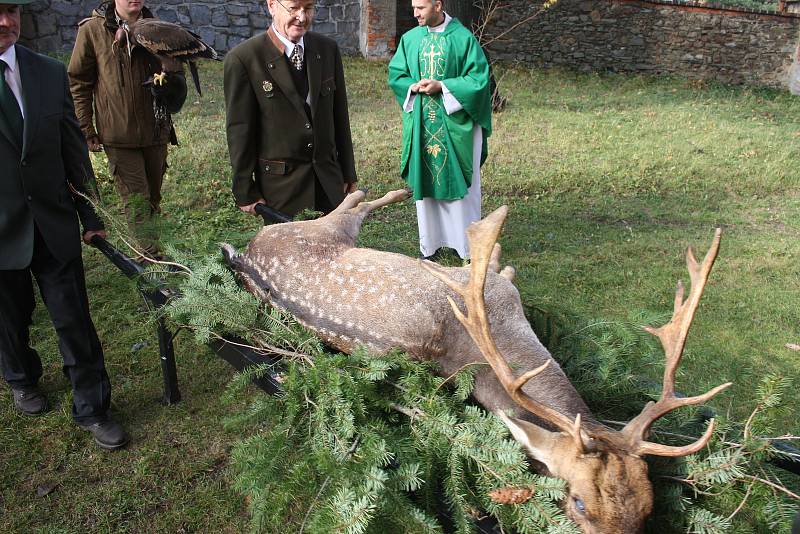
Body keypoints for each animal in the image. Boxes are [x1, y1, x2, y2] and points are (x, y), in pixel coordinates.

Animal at [222, 191, 736, 532]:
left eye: (648, 509)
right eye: (577, 503)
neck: (499, 333)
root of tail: (248, 251)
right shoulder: (484, 283)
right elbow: (489, 264)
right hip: (320, 229)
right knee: (349, 203)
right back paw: (393, 191)